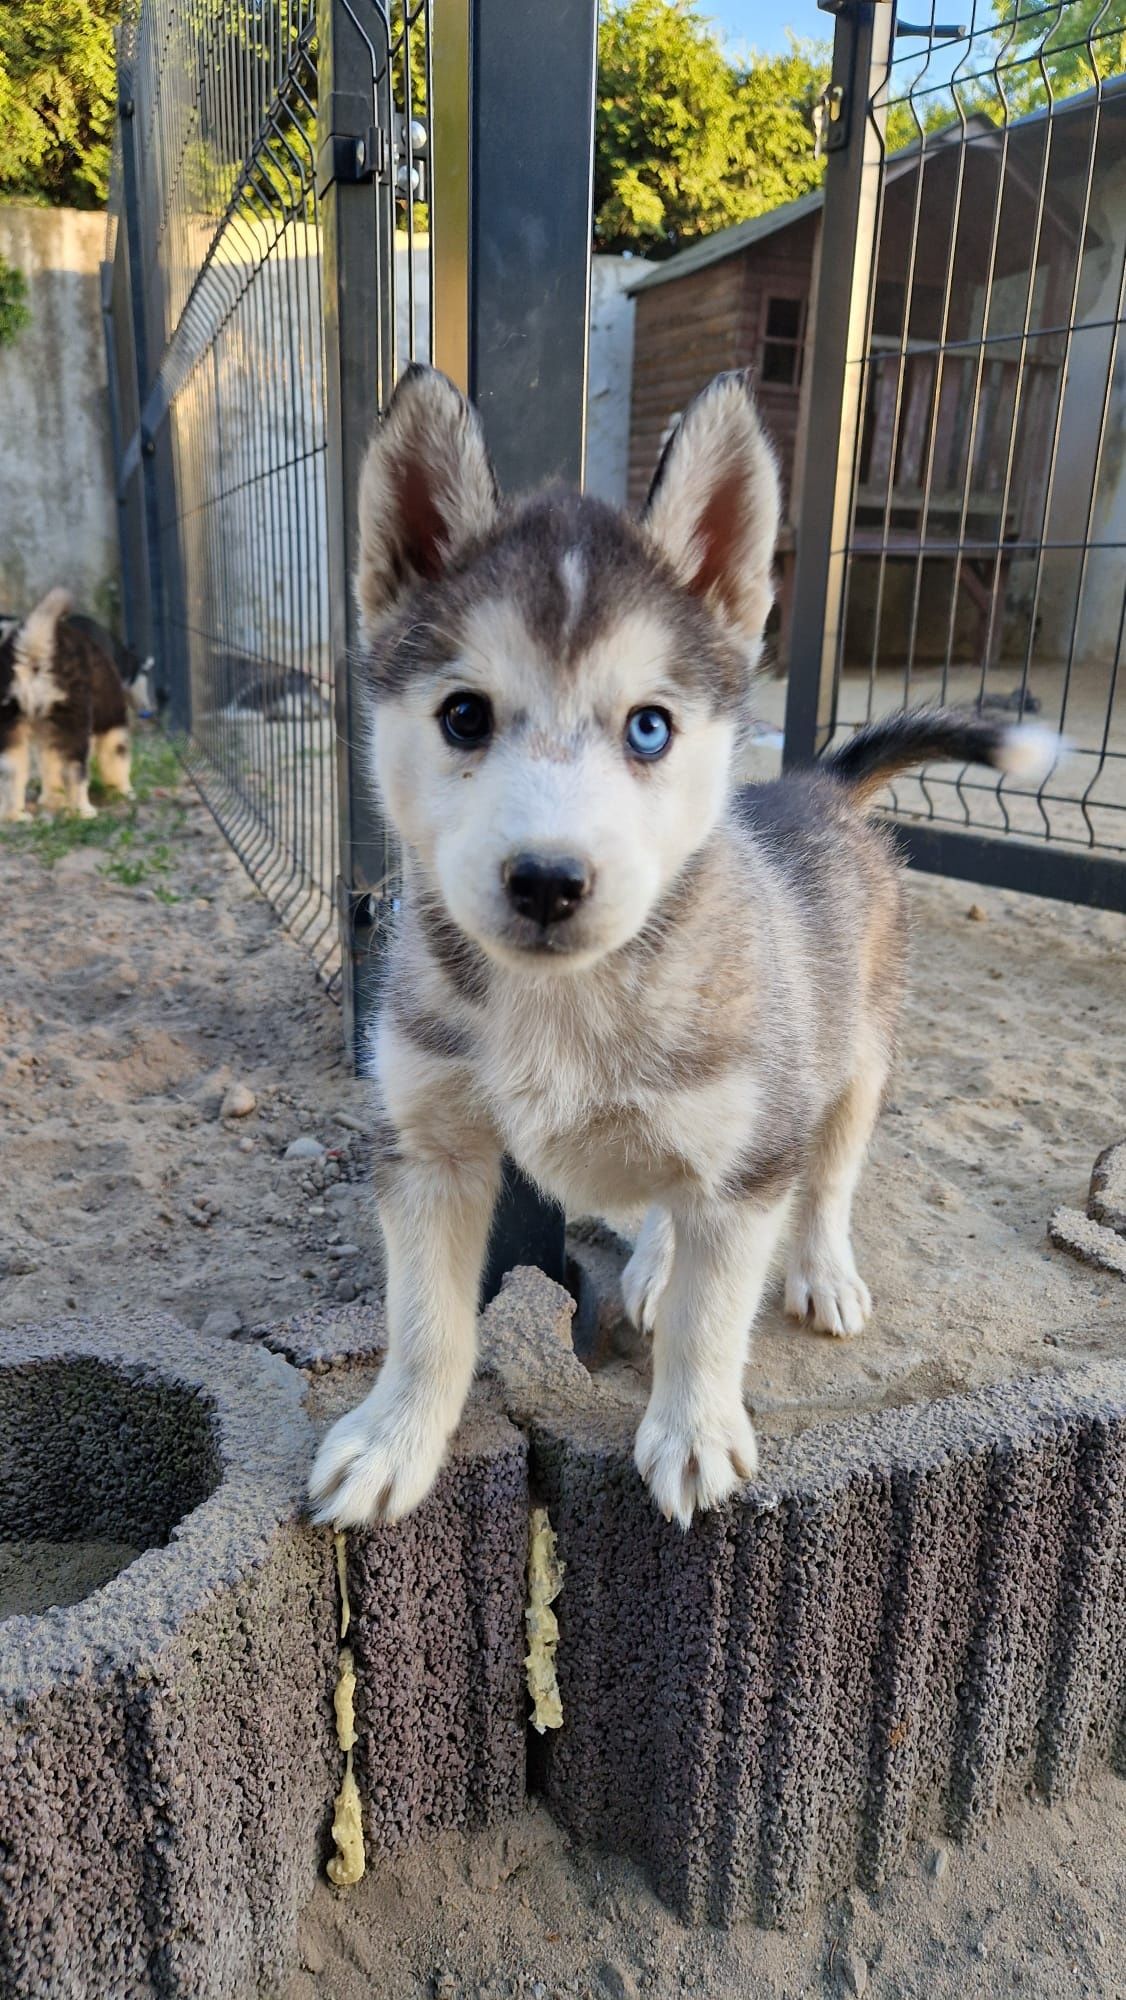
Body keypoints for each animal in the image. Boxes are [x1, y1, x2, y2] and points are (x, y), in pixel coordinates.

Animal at [0, 584, 134, 820]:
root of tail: (34, 652)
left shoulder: (48, 734)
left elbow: (50, 766)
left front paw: (53, 800)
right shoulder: (112, 722)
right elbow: (117, 758)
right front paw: (123, 791)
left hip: (11, 724)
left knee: (11, 772)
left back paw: (15, 816)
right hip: (75, 724)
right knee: (75, 770)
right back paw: (83, 811)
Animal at [306, 368, 1056, 1536]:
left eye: (649, 727)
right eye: (463, 715)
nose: (548, 880)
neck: (562, 1000)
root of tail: (819, 784)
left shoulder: (750, 1165)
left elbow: (717, 1313)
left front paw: (694, 1431)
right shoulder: (428, 1146)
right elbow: (426, 1318)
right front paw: (395, 1440)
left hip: (849, 1064)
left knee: (825, 1181)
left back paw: (818, 1270)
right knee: (670, 1194)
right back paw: (658, 1258)